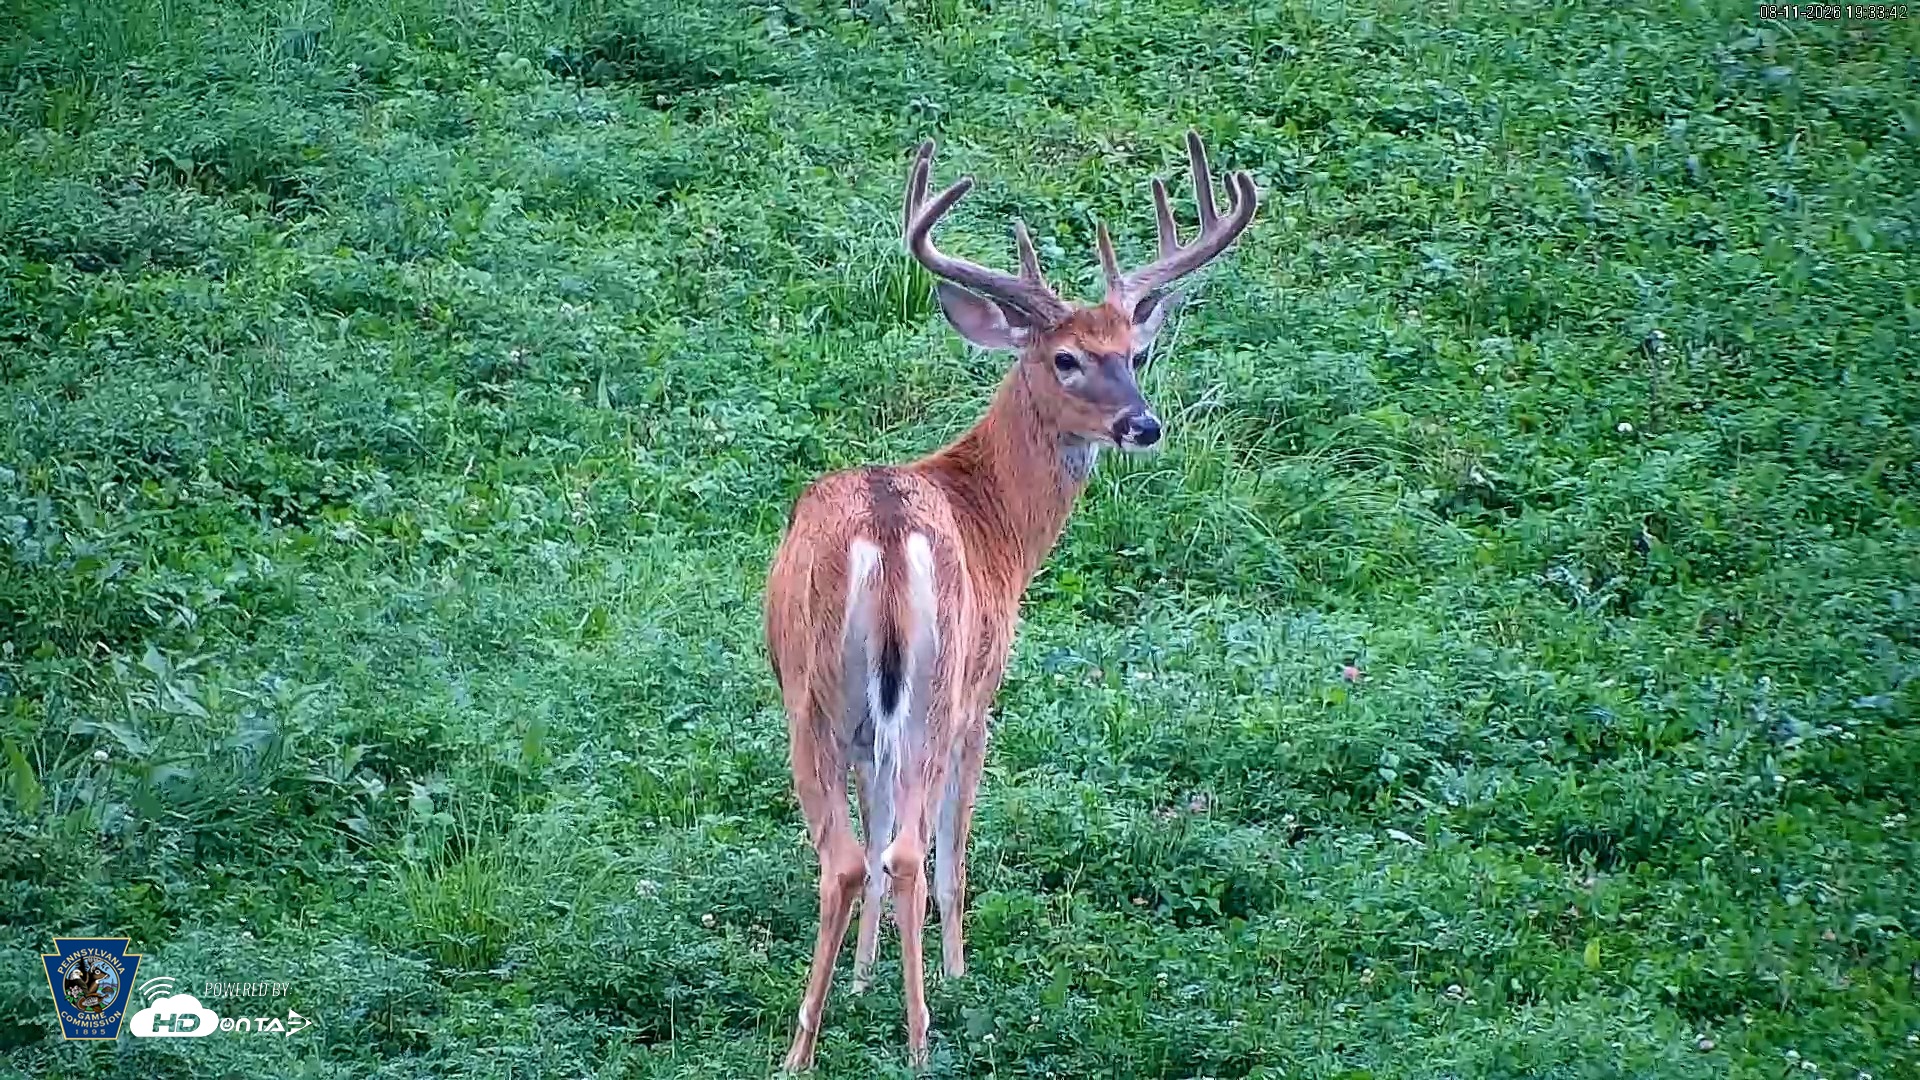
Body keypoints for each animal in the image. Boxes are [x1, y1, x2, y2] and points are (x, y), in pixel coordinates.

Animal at [763, 129, 1258, 1071]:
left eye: (1133, 353)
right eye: (1066, 358)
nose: (1144, 425)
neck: (995, 521)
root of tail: (887, 534)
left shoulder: (882, 732)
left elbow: (878, 834)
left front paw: (864, 978)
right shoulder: (982, 694)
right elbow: (954, 846)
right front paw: (953, 974)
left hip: (831, 699)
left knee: (859, 855)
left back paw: (818, 1043)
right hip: (922, 690)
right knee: (907, 851)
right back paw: (907, 1039)